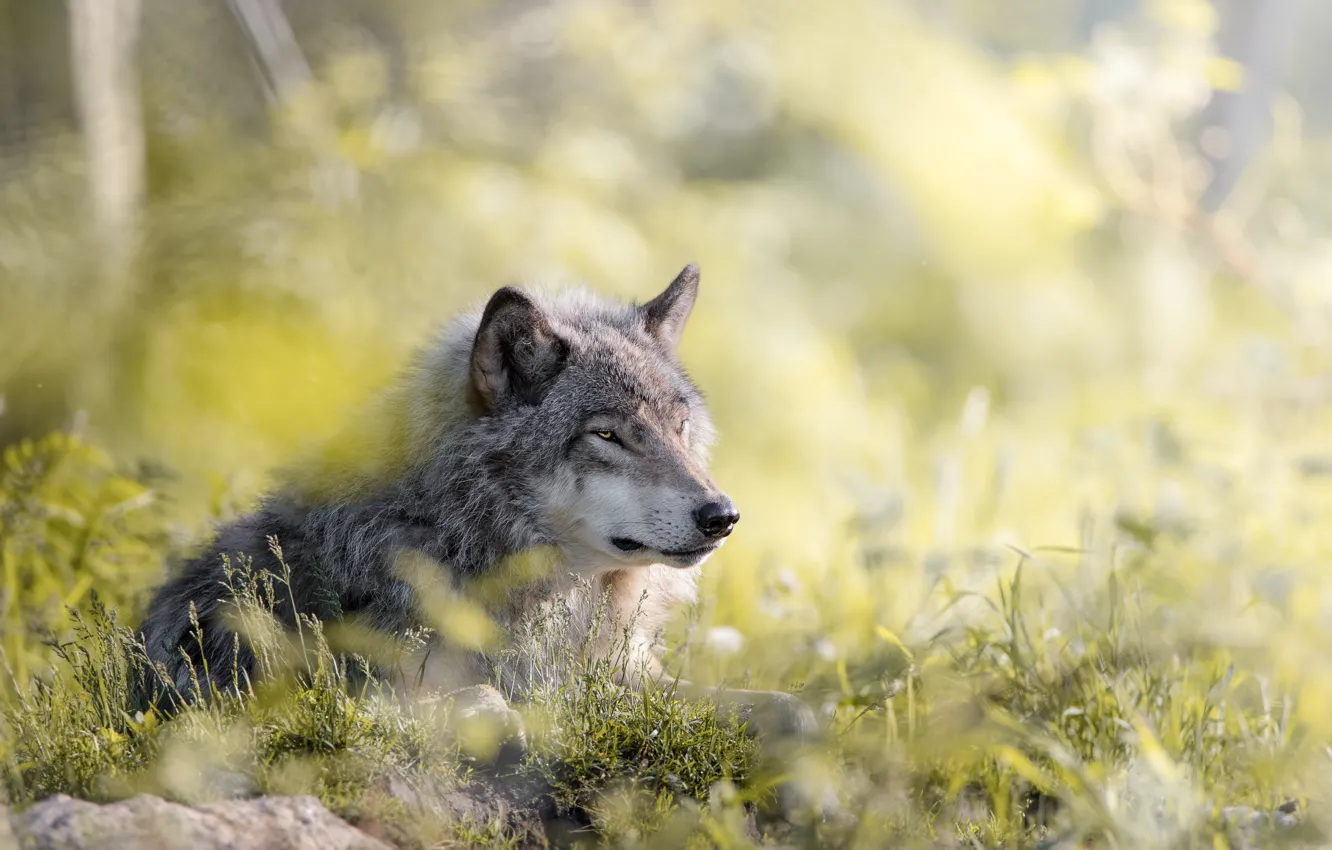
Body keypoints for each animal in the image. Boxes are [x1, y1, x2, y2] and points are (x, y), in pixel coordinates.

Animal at [138, 264, 828, 814]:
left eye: (679, 428)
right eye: (608, 435)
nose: (723, 516)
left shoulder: (626, 679)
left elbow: (792, 710)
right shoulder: (318, 692)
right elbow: (467, 700)